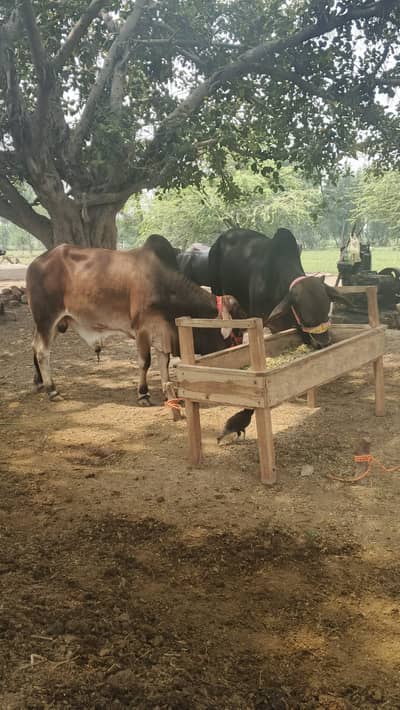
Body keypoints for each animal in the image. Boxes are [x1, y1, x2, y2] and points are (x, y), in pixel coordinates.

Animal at [26, 244, 226, 403]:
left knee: (34, 346)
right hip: (46, 318)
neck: (163, 285)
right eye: (231, 335)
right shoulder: (142, 329)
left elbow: (164, 361)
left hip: (55, 323)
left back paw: (39, 383)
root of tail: (35, 262)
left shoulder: (161, 331)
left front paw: (168, 392)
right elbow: (145, 362)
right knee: (43, 352)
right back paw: (52, 390)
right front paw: (143, 394)